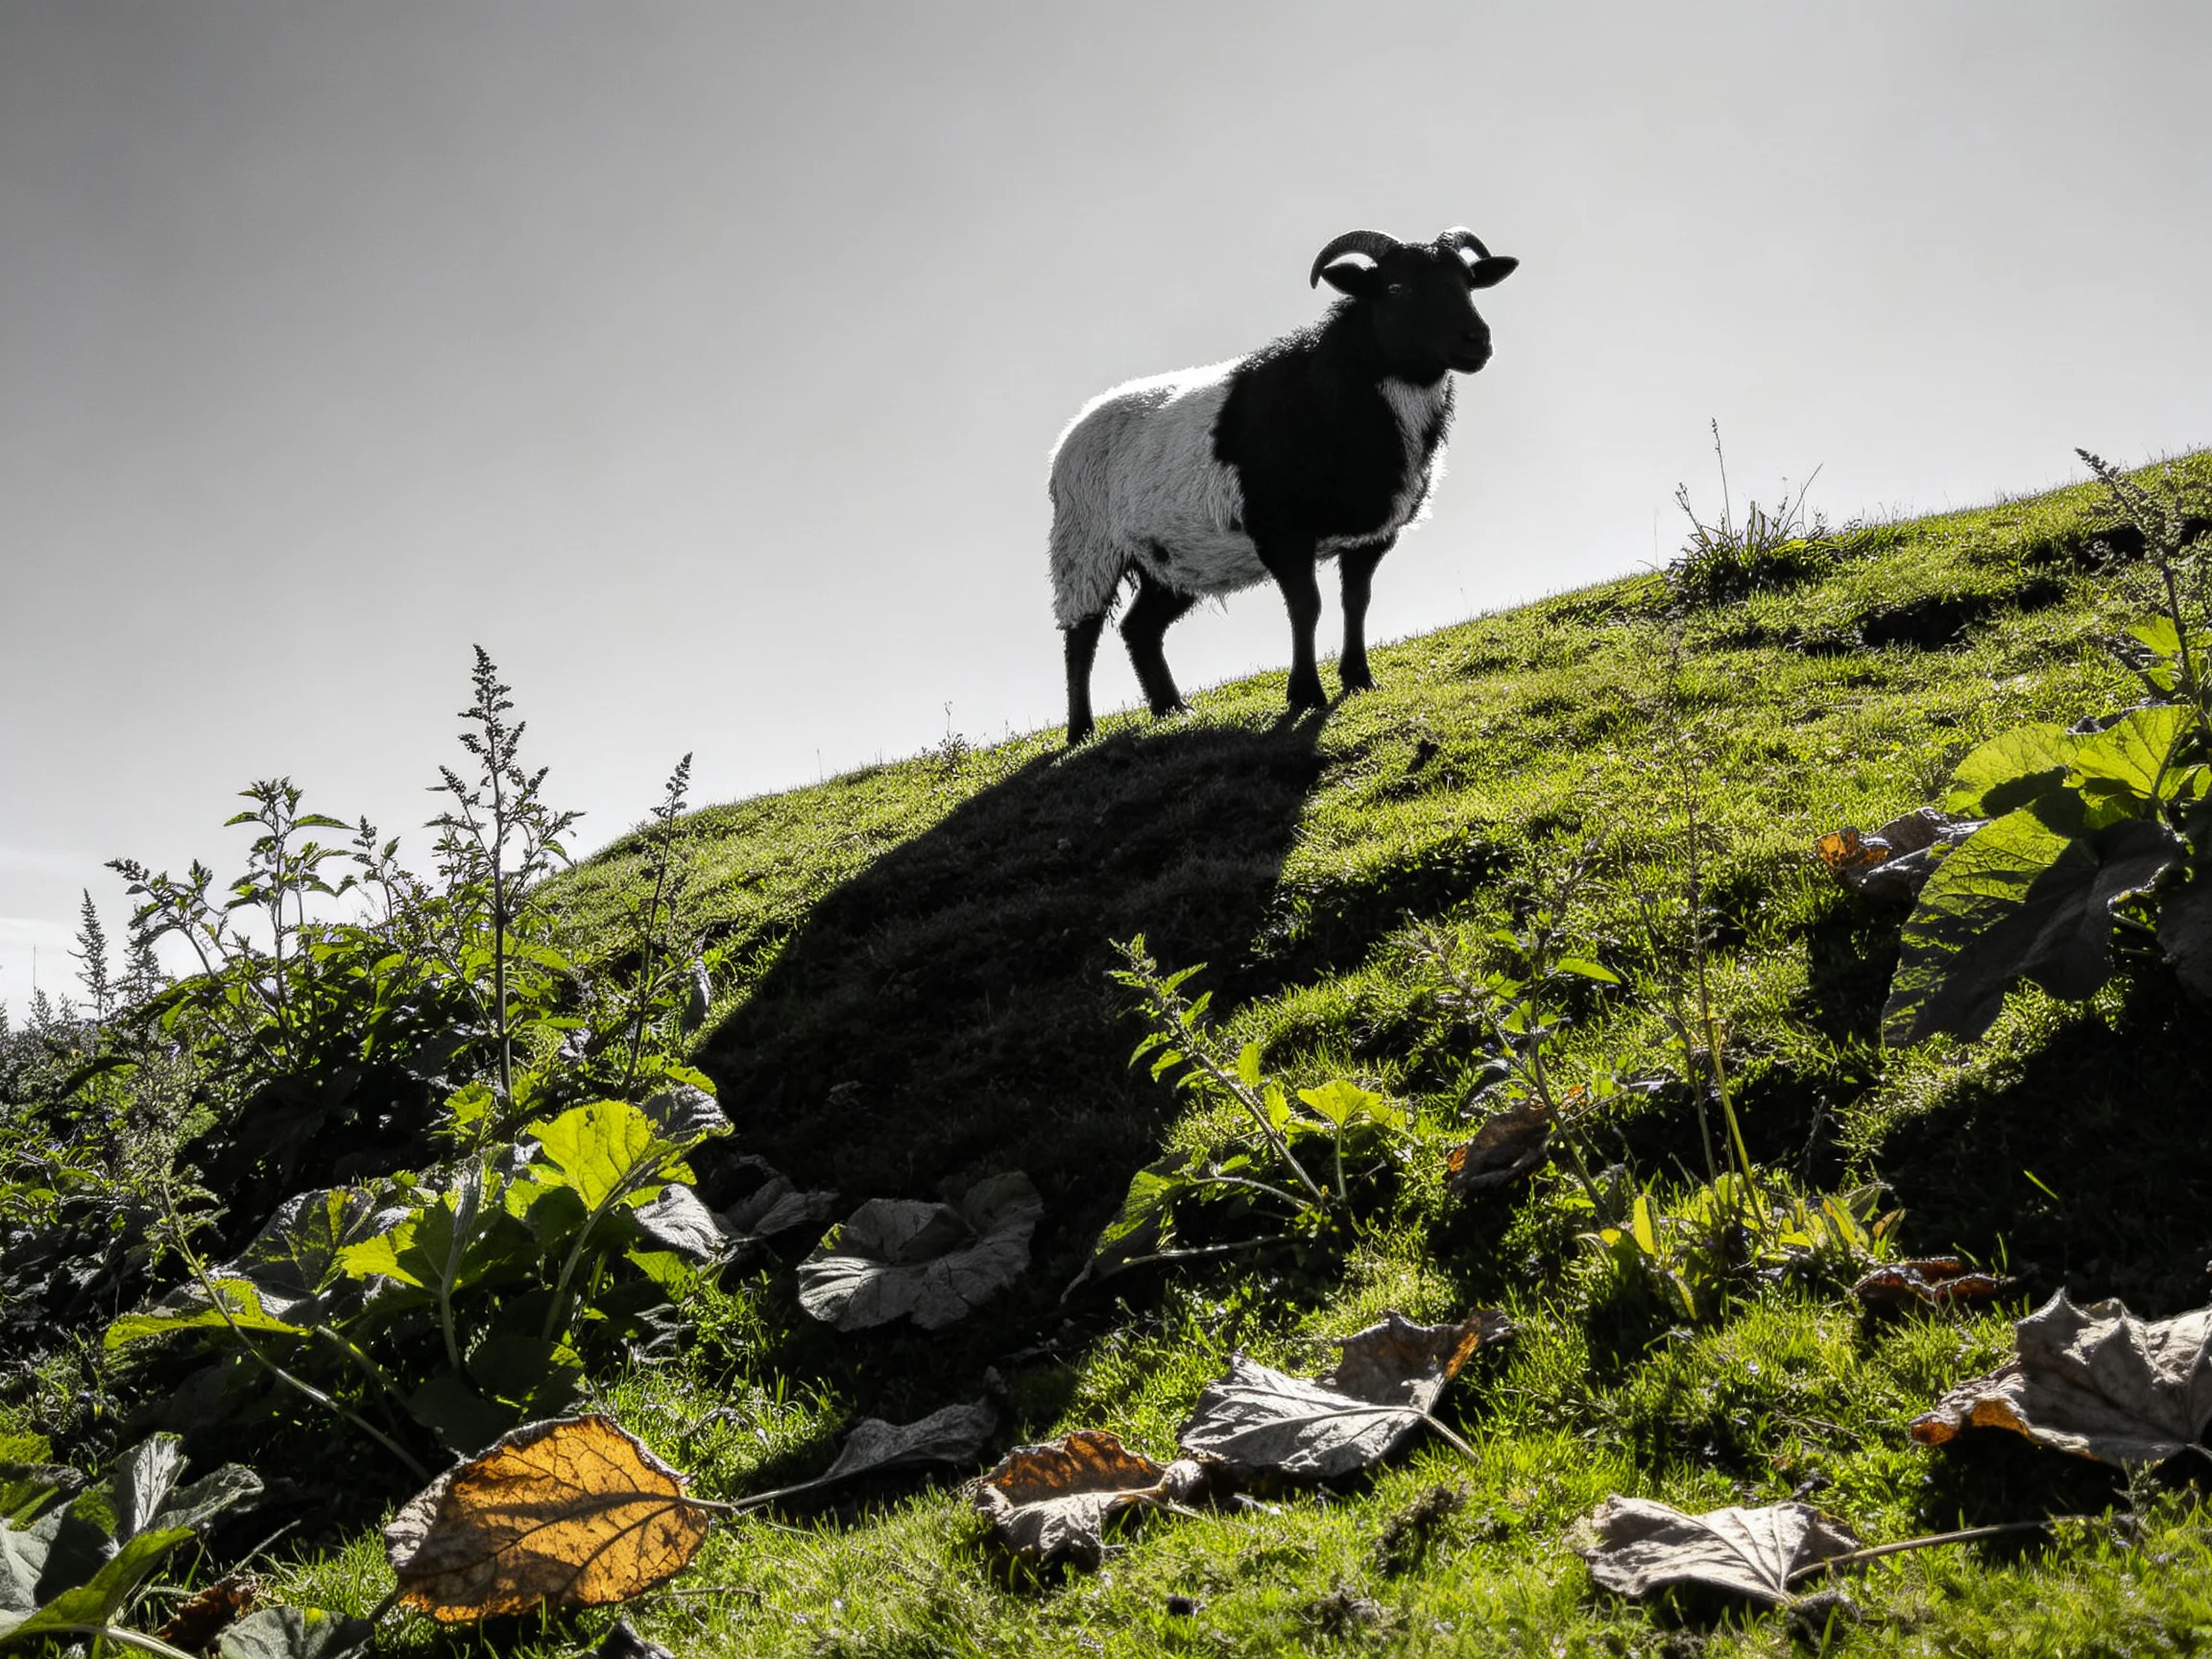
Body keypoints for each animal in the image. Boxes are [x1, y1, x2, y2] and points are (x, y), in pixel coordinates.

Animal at [1049, 226, 1517, 744]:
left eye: (1468, 282)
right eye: (1396, 288)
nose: (1477, 341)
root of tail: (1070, 433)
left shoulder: (1372, 535)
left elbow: (1356, 602)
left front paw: (1359, 679)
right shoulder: (1282, 530)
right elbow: (1306, 607)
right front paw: (1306, 694)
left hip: (1170, 559)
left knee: (1140, 629)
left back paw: (1173, 710)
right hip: (1085, 545)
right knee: (1081, 638)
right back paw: (1081, 731)